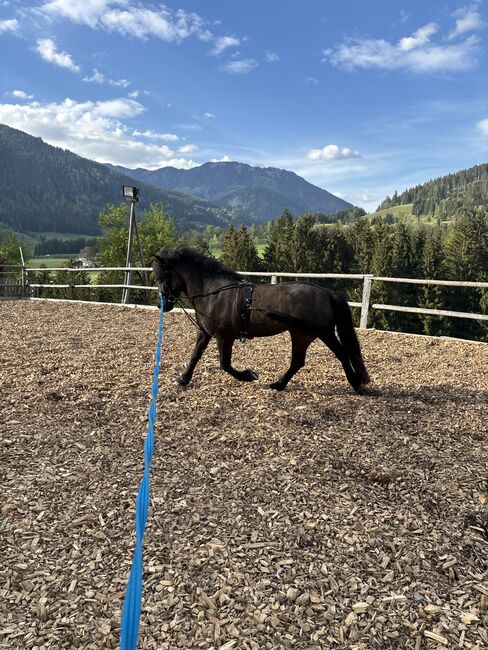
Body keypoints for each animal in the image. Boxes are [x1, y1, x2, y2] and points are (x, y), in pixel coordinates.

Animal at [153, 246, 370, 392]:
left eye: (160, 277)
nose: (162, 305)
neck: (212, 292)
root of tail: (327, 293)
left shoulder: (224, 336)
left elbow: (225, 364)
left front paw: (248, 375)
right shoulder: (205, 332)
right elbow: (195, 355)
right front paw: (183, 378)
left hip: (304, 334)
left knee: (302, 360)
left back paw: (280, 384)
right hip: (320, 333)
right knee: (336, 355)